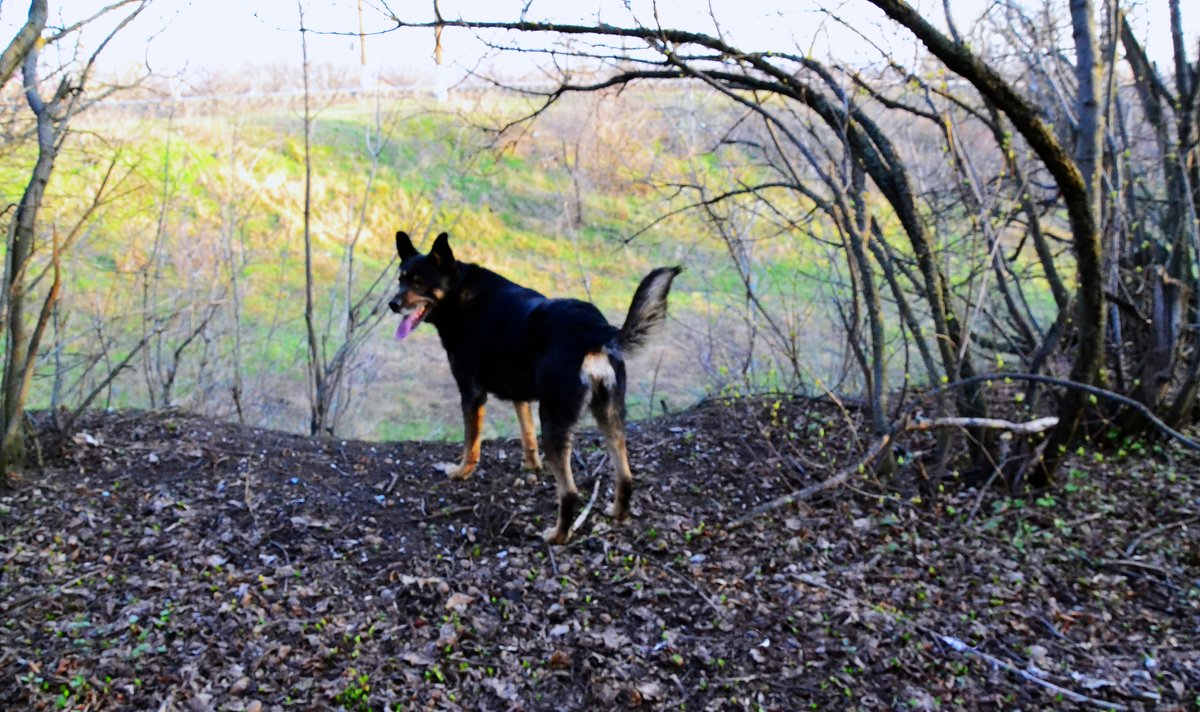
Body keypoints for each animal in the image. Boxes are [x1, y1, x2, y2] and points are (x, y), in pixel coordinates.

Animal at [388, 230, 681, 540]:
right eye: (401, 279)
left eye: (419, 283)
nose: (392, 304)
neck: (459, 294)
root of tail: (597, 331)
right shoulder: (521, 396)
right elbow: (527, 435)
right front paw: (531, 465)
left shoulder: (472, 394)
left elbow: (471, 443)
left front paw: (461, 472)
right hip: (610, 415)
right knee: (625, 475)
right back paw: (618, 513)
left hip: (553, 421)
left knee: (570, 492)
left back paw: (558, 536)